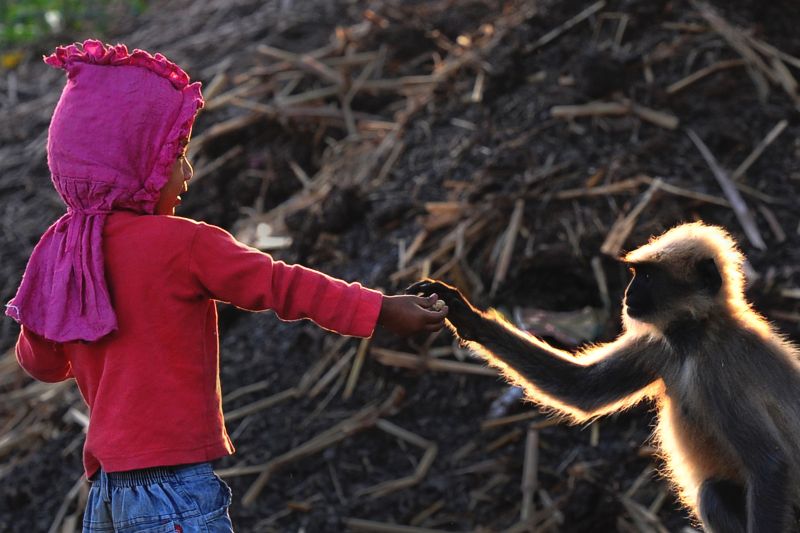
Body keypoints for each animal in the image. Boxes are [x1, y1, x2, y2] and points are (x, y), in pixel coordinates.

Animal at [408, 222, 800, 533]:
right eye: (636, 275)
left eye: (647, 277)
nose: (628, 293)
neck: (696, 335)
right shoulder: (656, 345)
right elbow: (582, 388)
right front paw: (463, 314)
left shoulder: (717, 370)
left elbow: (770, 465)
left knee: (713, 493)